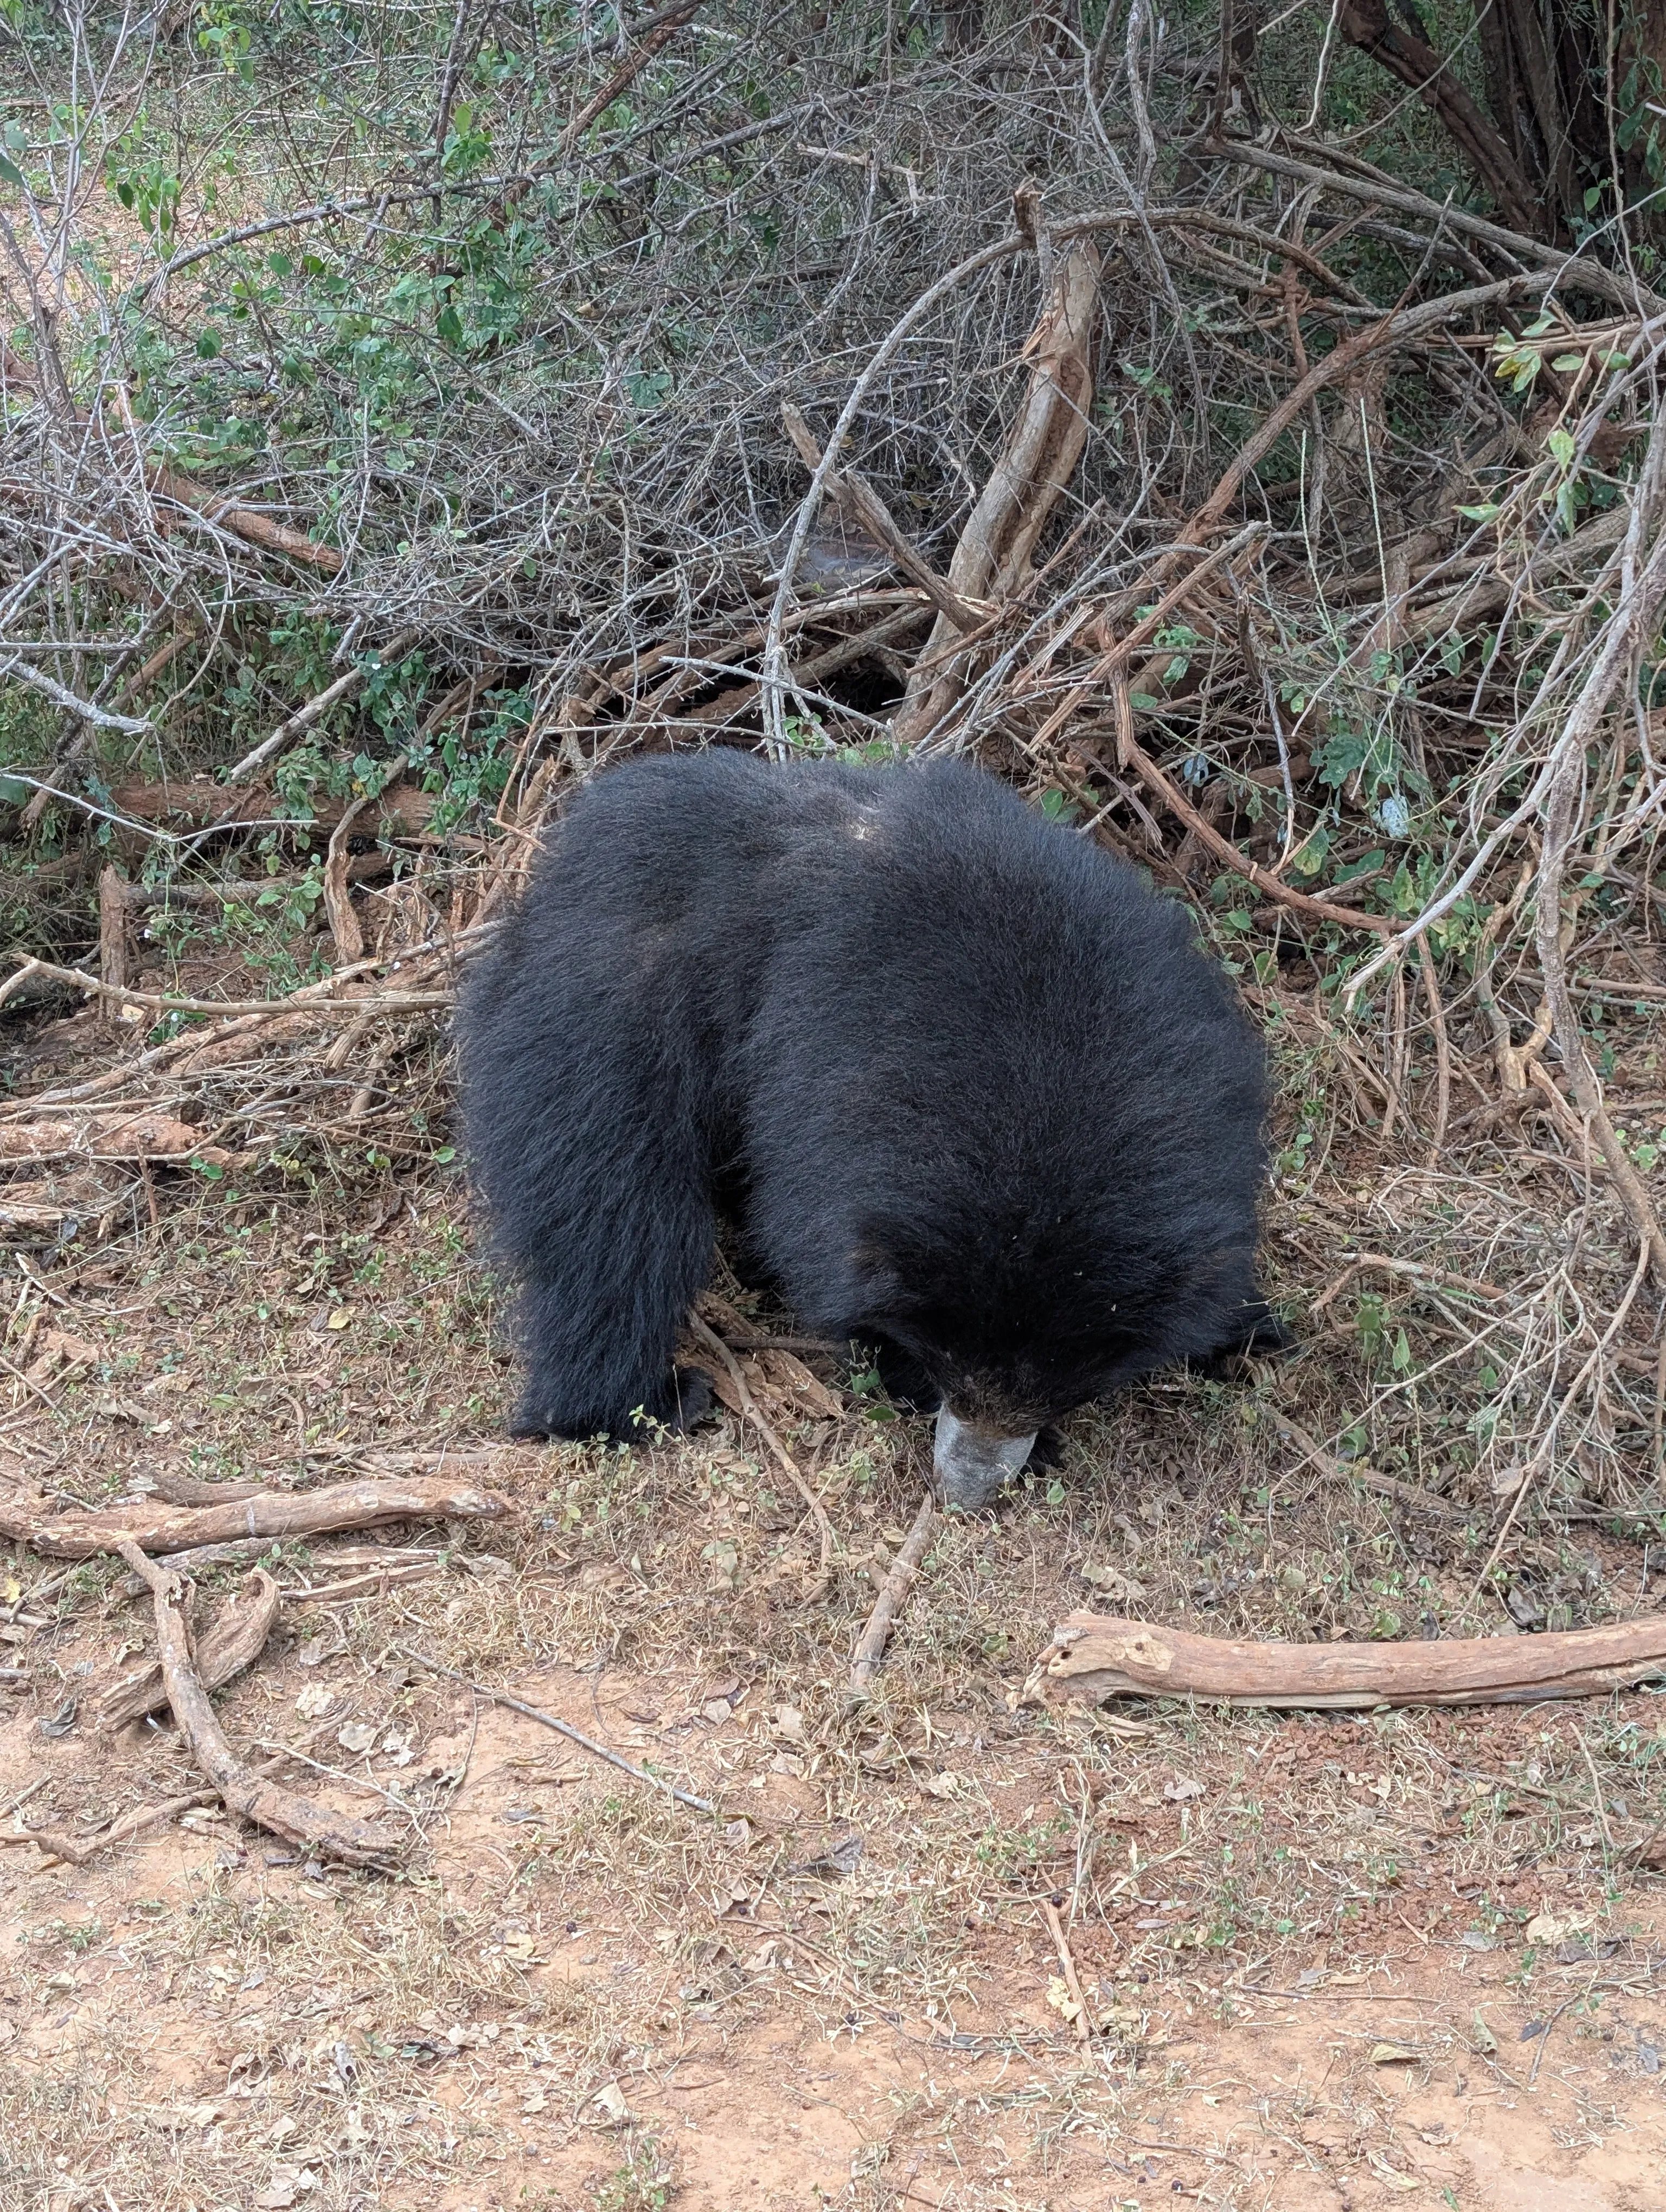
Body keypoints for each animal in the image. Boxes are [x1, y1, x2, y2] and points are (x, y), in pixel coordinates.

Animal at [457, 751, 1279, 1511]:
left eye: (1070, 1381)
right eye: (952, 1362)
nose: (966, 1489)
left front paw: (1249, 1331)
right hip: (607, 1006)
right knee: (611, 1220)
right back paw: (637, 1404)